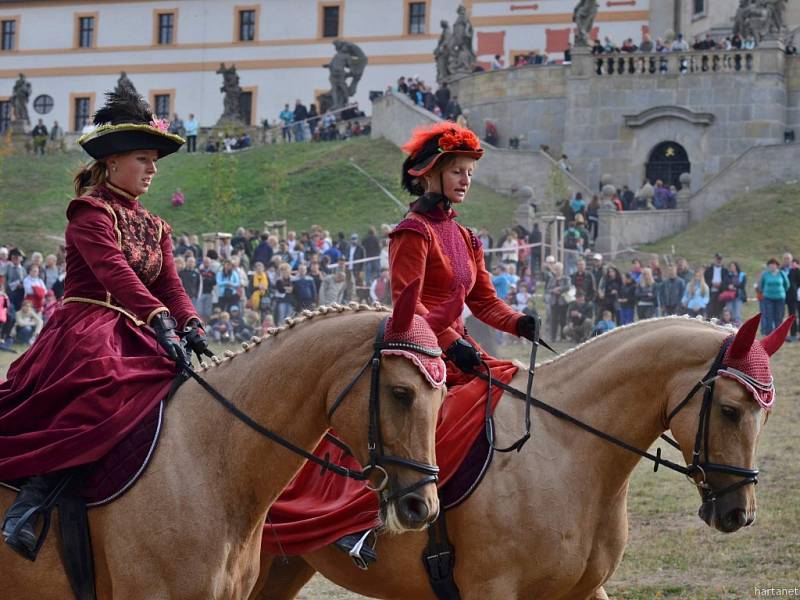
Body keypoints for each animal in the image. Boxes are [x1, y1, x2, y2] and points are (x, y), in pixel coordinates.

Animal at [253, 316, 784, 596]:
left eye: (765, 415)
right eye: (732, 410)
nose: (739, 513)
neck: (567, 453)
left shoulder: (584, 589)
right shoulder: (493, 589)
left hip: (284, 566)